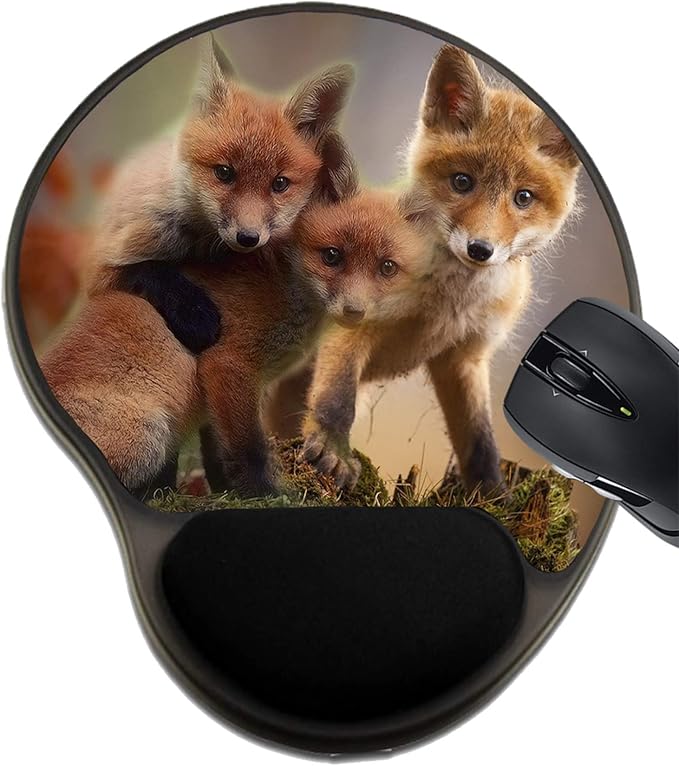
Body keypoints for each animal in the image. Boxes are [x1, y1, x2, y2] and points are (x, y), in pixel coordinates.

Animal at [88, 35, 354, 355]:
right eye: (224, 173)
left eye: (279, 184)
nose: (248, 237)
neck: (199, 245)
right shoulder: (104, 265)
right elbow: (148, 270)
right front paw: (195, 314)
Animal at [301, 44, 581, 496]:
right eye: (462, 182)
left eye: (523, 197)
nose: (480, 249)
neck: (447, 302)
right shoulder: (354, 319)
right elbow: (337, 398)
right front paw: (332, 448)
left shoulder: (465, 356)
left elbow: (480, 437)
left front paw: (491, 493)